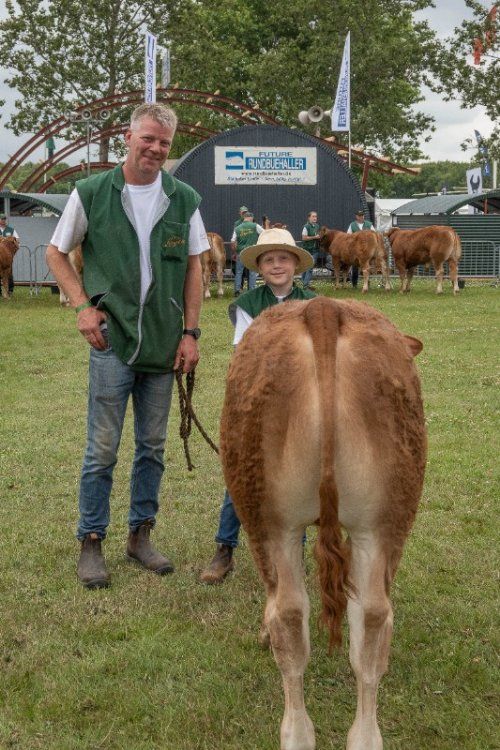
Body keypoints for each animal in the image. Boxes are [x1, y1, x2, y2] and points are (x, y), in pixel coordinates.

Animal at [220, 296, 426, 750]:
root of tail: (323, 307)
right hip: (383, 519)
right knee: (371, 618)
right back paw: (364, 737)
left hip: (269, 519)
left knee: (288, 615)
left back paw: (296, 732)